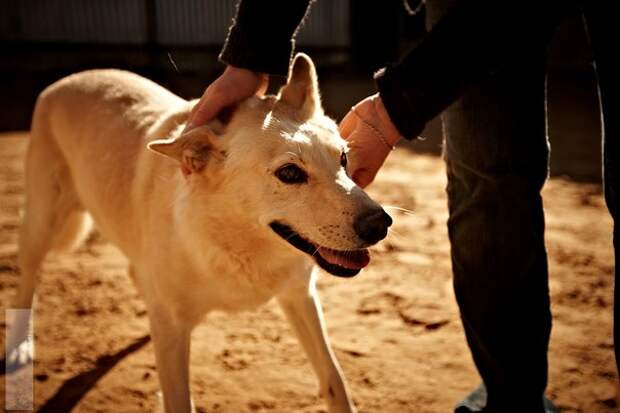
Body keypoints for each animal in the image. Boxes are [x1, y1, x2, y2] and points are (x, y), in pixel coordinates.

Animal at [8, 54, 392, 412]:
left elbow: (334, 379)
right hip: (40, 223)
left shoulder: (300, 296)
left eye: (343, 159)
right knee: (27, 278)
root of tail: (69, 78)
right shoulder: (174, 332)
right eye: (290, 173)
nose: (380, 223)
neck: (231, 243)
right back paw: (18, 346)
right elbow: (179, 399)